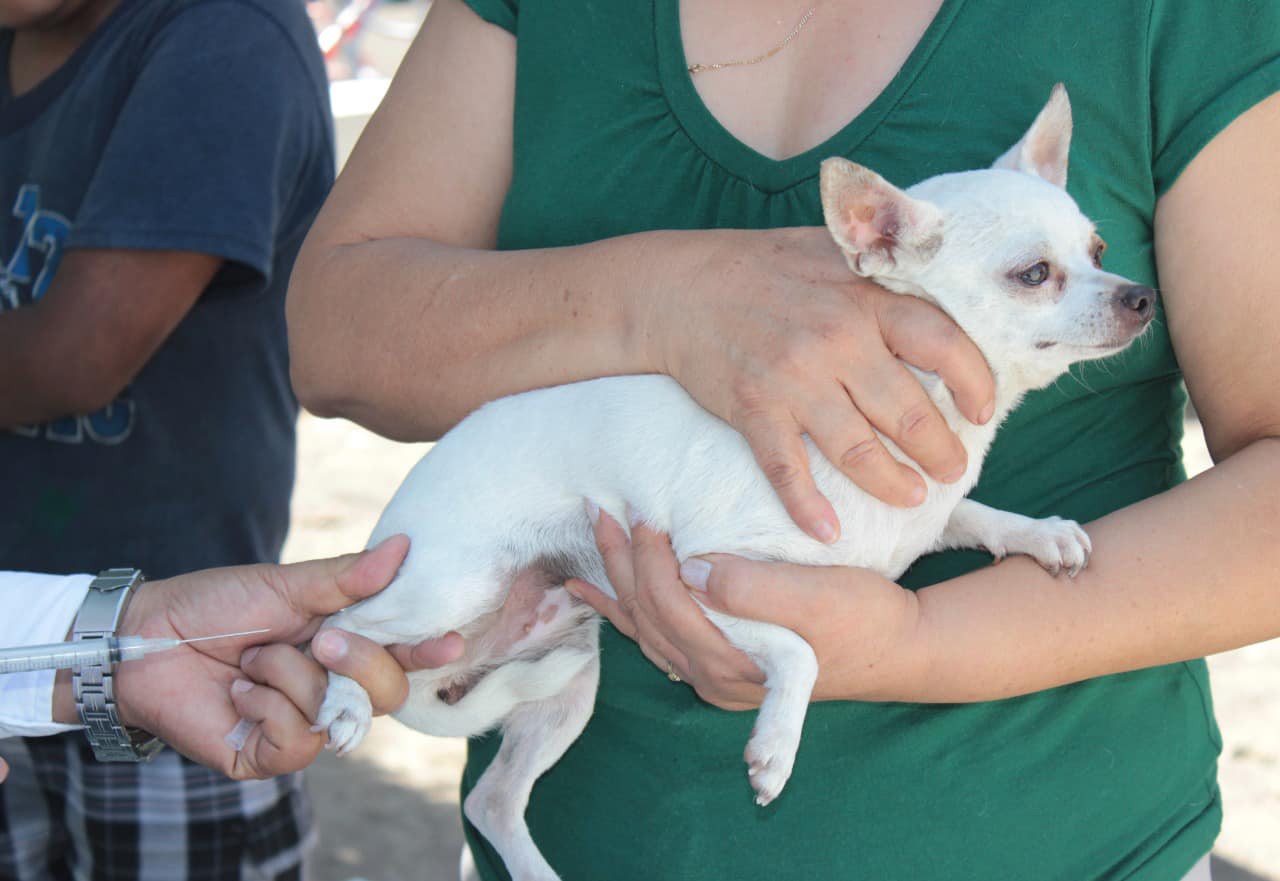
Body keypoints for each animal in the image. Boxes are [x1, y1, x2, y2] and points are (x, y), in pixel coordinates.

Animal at [320, 84, 1162, 881]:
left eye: (1098, 247)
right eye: (1034, 274)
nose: (1139, 294)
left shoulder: (924, 509)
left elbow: (976, 513)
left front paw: (1040, 533)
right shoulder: (703, 581)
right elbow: (801, 649)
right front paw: (775, 747)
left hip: (566, 678)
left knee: (492, 800)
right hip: (452, 587)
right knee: (345, 628)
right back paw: (344, 702)